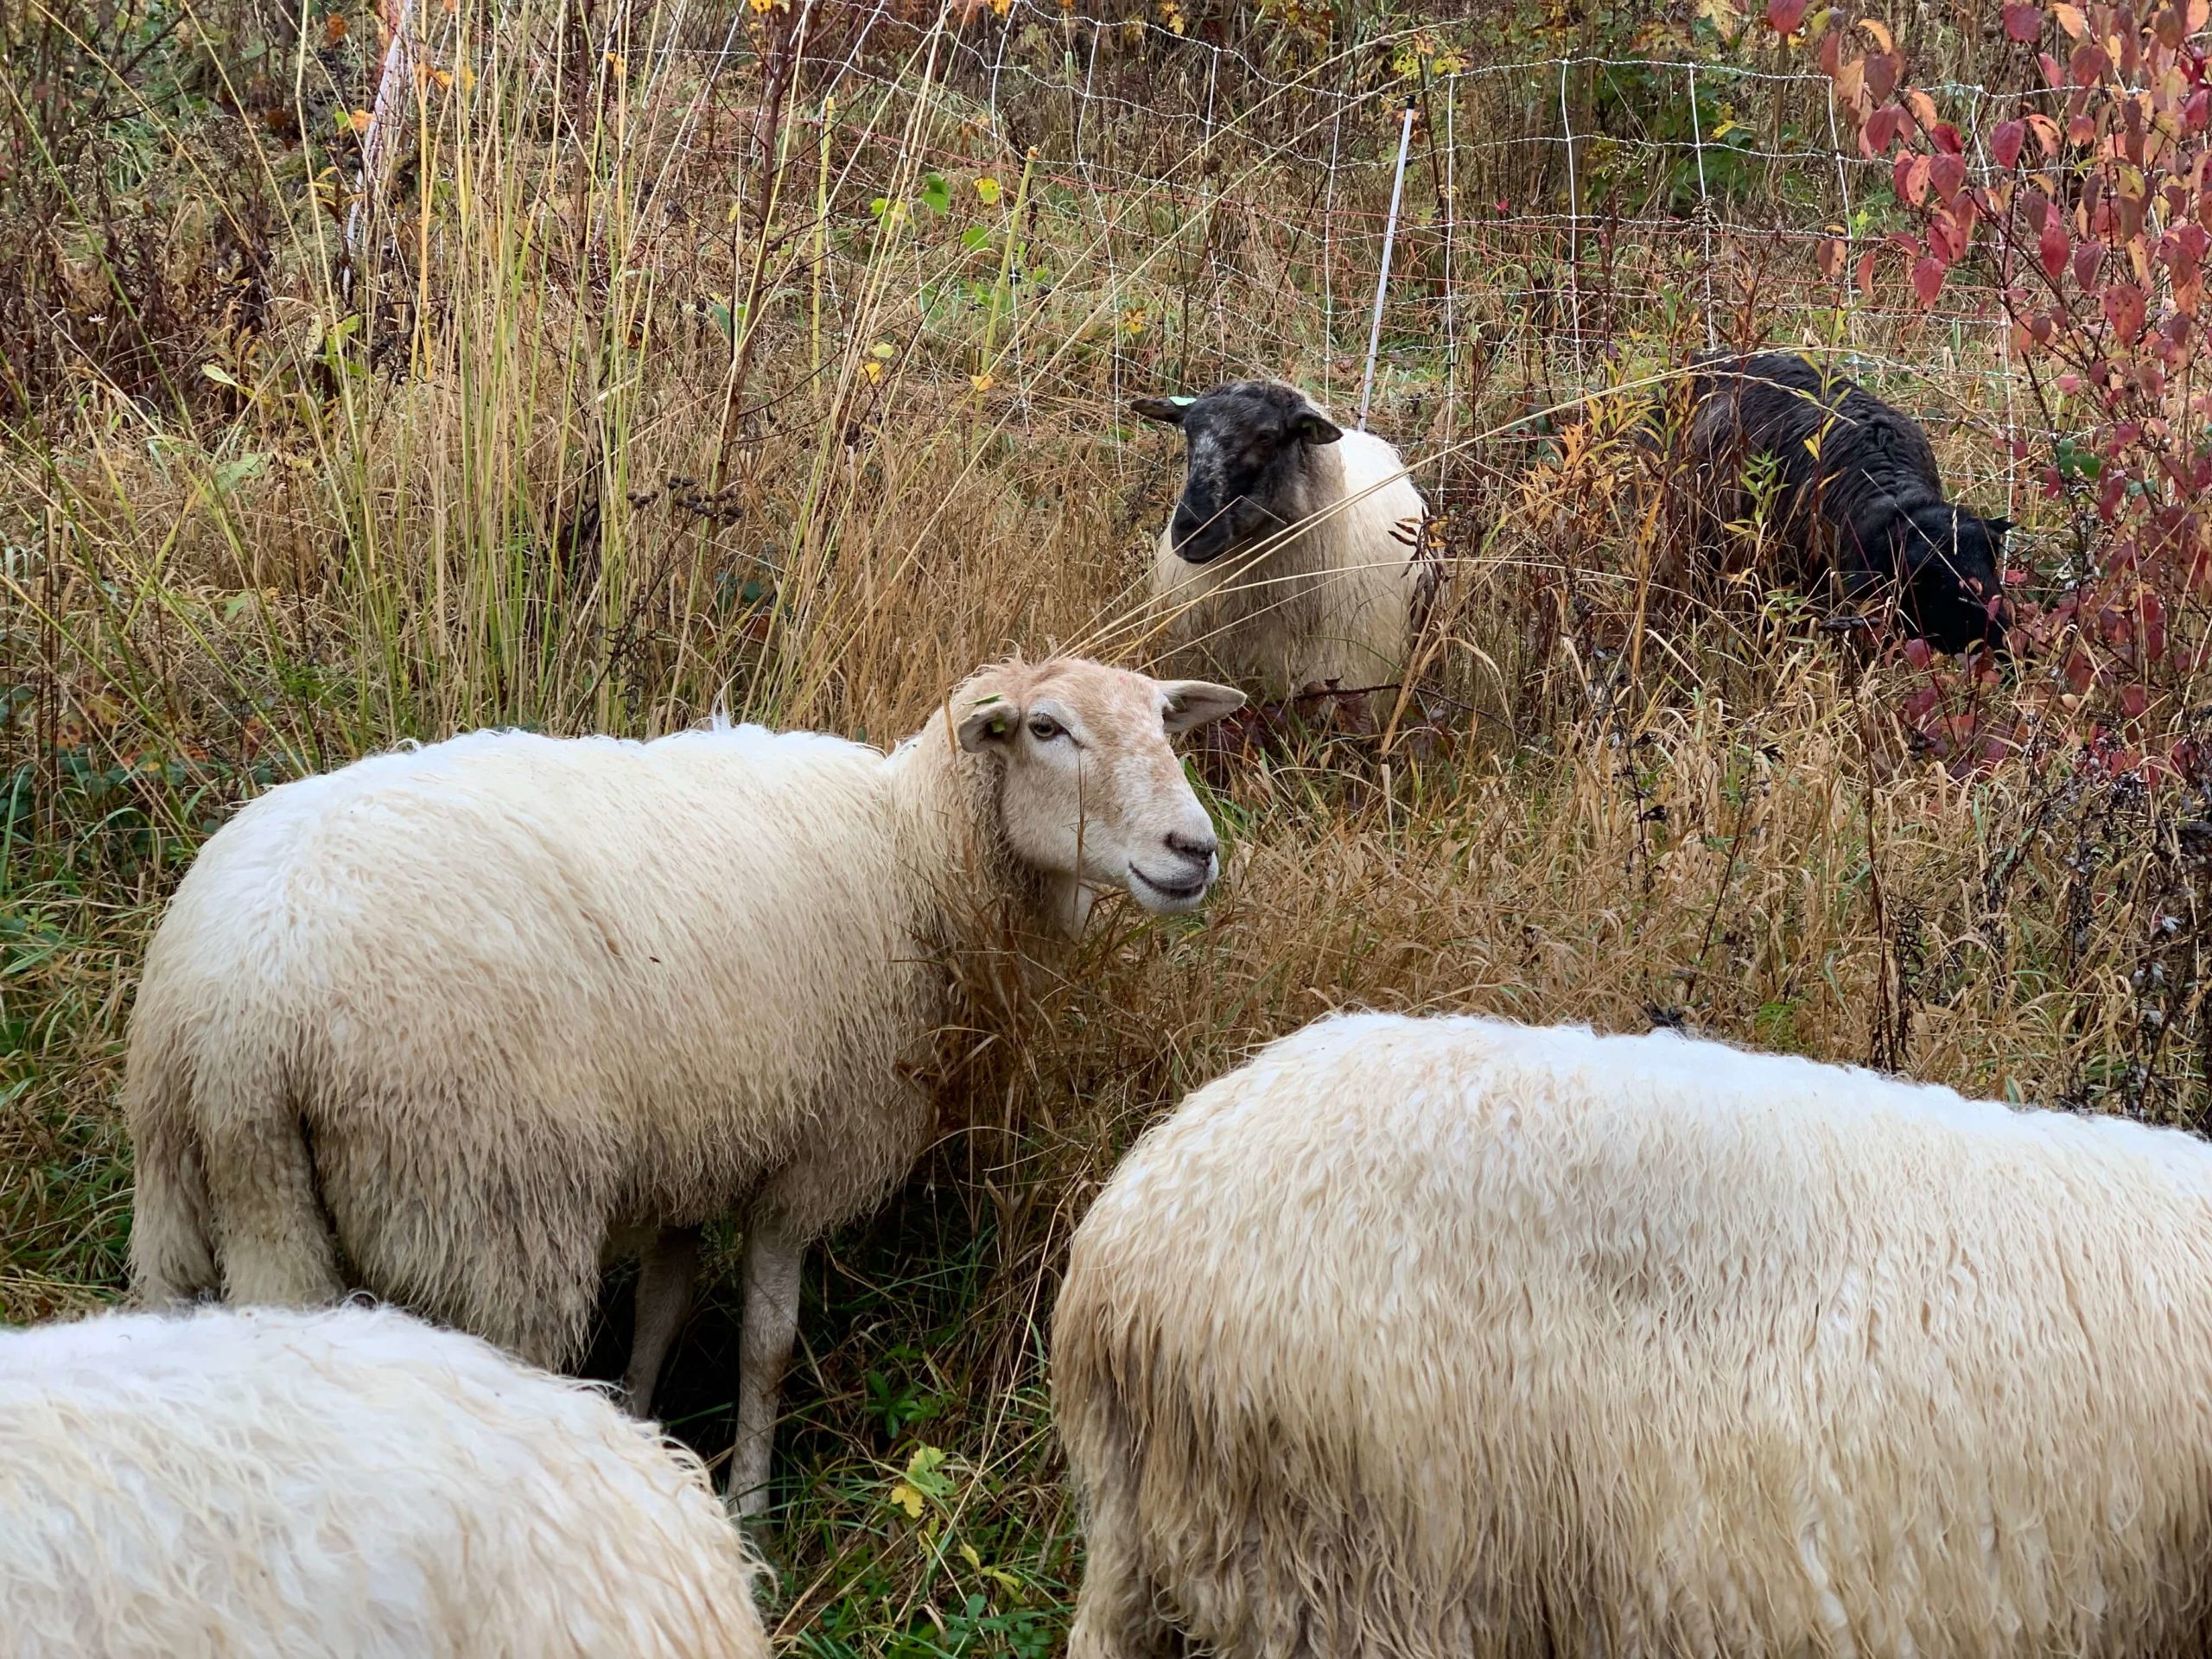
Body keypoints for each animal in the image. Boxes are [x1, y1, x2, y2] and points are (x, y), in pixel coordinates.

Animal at [129, 654, 1247, 1522]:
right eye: (1047, 729)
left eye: (1163, 724)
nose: (1193, 851)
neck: (913, 858)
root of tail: (249, 1017)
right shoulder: (806, 1156)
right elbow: (765, 1345)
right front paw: (749, 1506)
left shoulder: (694, 1145)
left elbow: (663, 1310)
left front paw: (640, 1424)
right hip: (483, 1215)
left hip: (191, 1199)